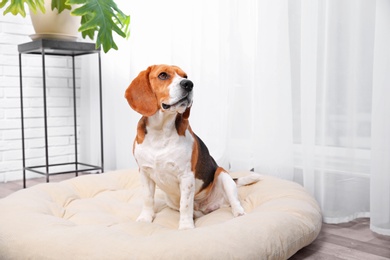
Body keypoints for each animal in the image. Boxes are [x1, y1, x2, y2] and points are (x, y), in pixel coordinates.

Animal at [125, 65, 258, 230]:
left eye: (185, 76)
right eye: (163, 75)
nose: (188, 84)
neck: (160, 131)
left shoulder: (186, 176)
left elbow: (185, 205)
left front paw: (186, 227)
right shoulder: (144, 173)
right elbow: (148, 199)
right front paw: (145, 218)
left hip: (223, 176)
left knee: (234, 201)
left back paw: (238, 213)